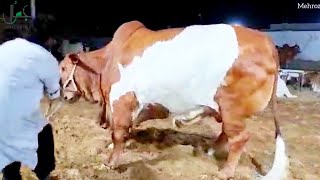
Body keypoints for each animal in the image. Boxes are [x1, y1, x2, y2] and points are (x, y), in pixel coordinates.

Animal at [58, 20, 288, 179]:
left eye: (63, 68)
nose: (61, 91)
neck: (107, 61)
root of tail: (266, 41)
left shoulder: (121, 101)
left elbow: (118, 133)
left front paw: (110, 162)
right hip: (226, 110)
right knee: (226, 134)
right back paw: (209, 151)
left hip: (232, 107)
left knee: (239, 138)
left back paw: (225, 172)